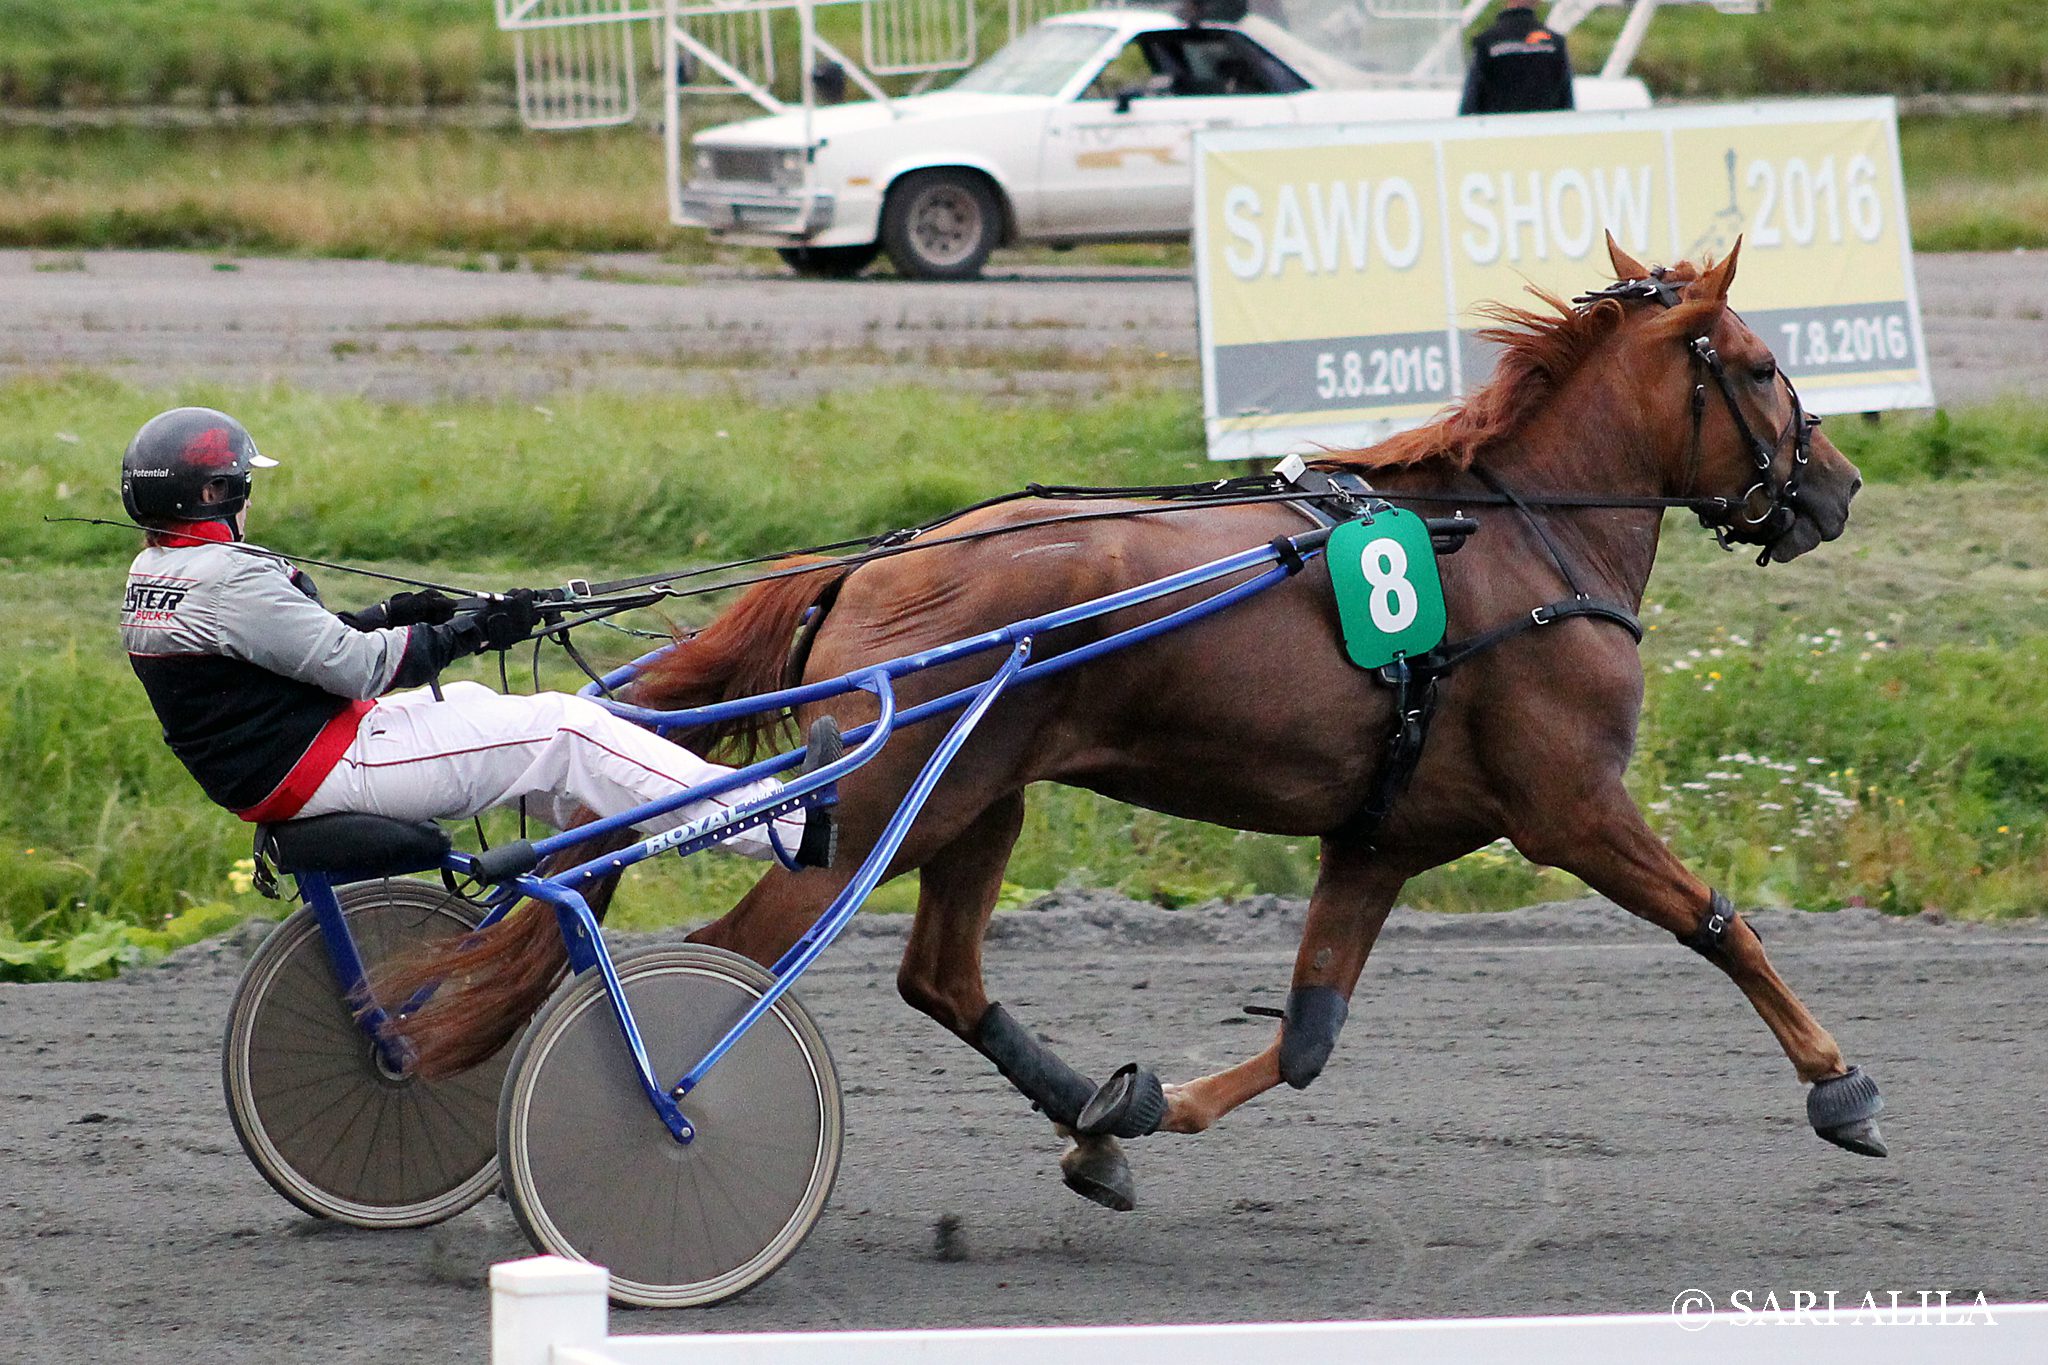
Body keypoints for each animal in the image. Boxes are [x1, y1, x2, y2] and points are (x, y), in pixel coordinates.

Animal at [387, 236, 1880, 1212]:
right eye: (1760, 364)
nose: (1839, 487)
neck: (1520, 547)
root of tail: (875, 563)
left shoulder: (1380, 837)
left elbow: (1310, 1034)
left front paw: (1151, 1112)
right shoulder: (1568, 806)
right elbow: (1718, 922)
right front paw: (1841, 1086)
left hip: (980, 795)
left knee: (942, 977)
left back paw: (1093, 1121)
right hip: (880, 809)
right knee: (733, 960)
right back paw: (655, 1115)